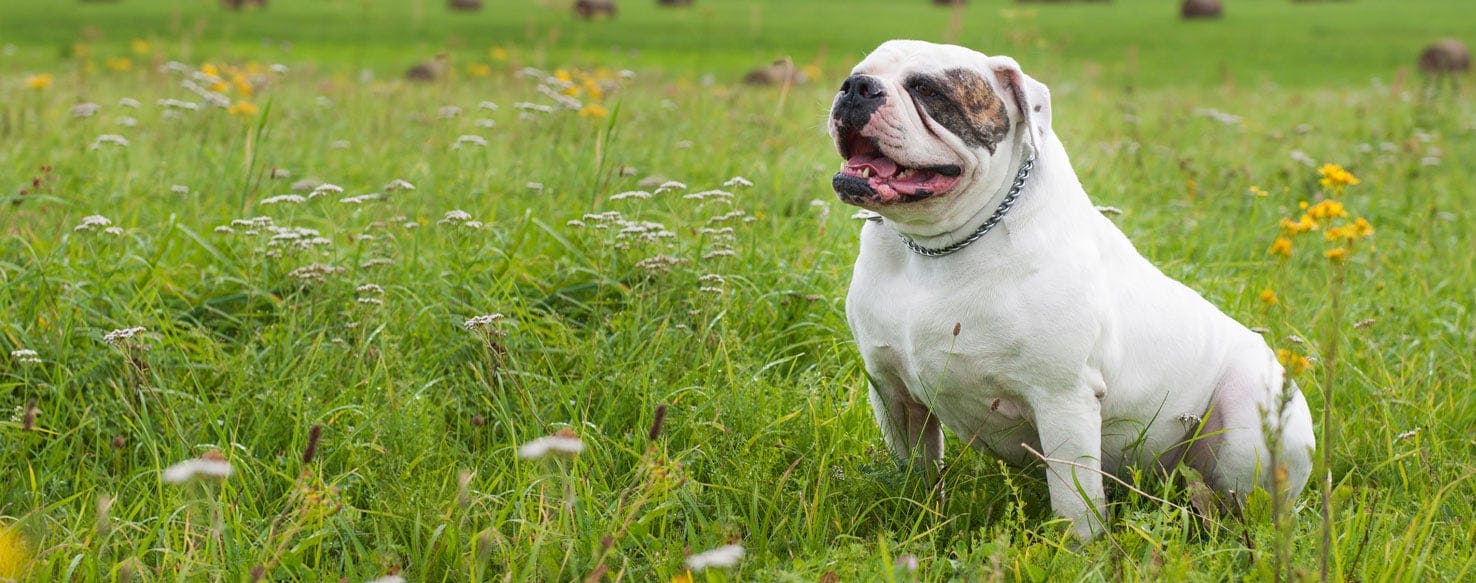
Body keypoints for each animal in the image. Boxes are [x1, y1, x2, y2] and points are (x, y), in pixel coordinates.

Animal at [832, 42, 1316, 543]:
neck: (934, 247)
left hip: (1248, 419)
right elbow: (916, 473)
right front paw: (917, 518)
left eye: (927, 89)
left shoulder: (1062, 398)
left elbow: (1073, 499)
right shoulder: (891, 391)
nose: (857, 88)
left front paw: (1078, 549)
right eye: (857, 73)